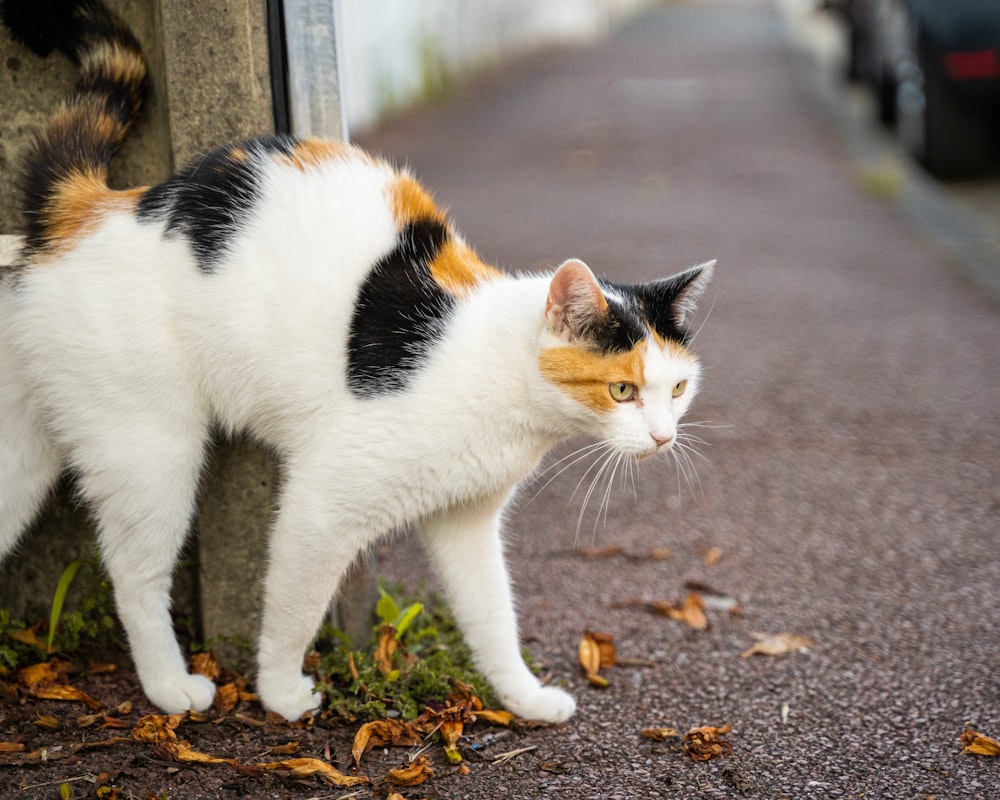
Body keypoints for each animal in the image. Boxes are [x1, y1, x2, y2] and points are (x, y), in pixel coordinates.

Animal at [0, 0, 712, 724]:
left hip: (25, 452)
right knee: (135, 574)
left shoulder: (466, 521)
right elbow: (294, 607)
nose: (664, 437)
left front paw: (522, 696)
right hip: (152, 450)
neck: (501, 380)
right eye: (622, 390)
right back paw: (170, 686)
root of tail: (100, 209)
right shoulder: (321, 502)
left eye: (679, 387)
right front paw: (281, 692)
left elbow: (492, 615)